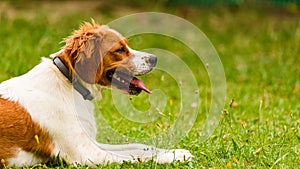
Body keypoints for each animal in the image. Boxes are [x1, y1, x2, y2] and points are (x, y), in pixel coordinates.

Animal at [0, 20, 192, 166]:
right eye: (120, 50)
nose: (155, 59)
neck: (70, 84)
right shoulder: (87, 155)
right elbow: (137, 157)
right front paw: (175, 155)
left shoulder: (93, 143)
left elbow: (139, 147)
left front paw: (171, 150)